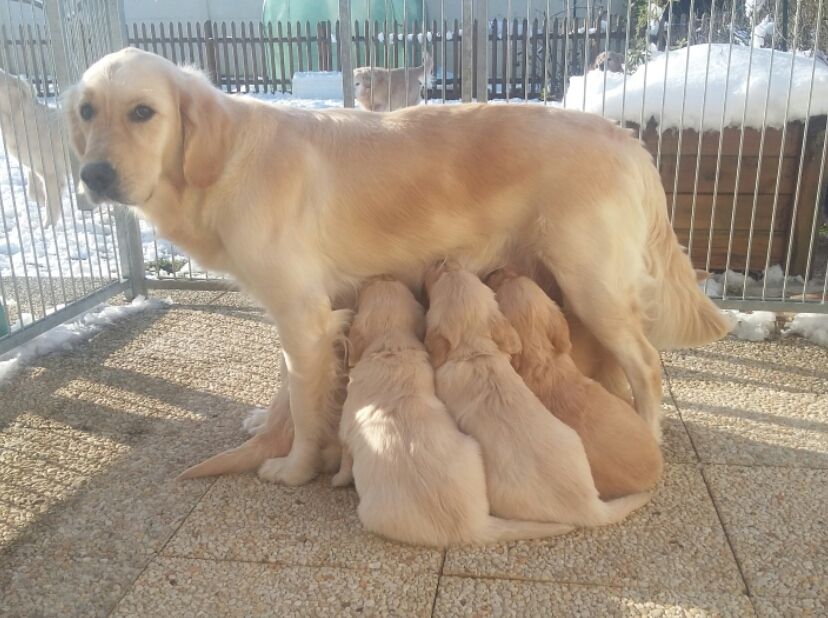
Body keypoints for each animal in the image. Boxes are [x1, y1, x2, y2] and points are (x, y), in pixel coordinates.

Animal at [0, 70, 68, 224]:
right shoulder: (33, 167)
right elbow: (32, 193)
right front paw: (41, 200)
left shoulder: (52, 174)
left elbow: (51, 209)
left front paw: (48, 227)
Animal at [330, 274, 568, 544]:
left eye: (366, 291)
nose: (383, 275)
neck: (392, 344)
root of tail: (473, 526)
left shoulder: (346, 429)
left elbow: (345, 460)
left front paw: (337, 479)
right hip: (472, 449)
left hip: (371, 513)